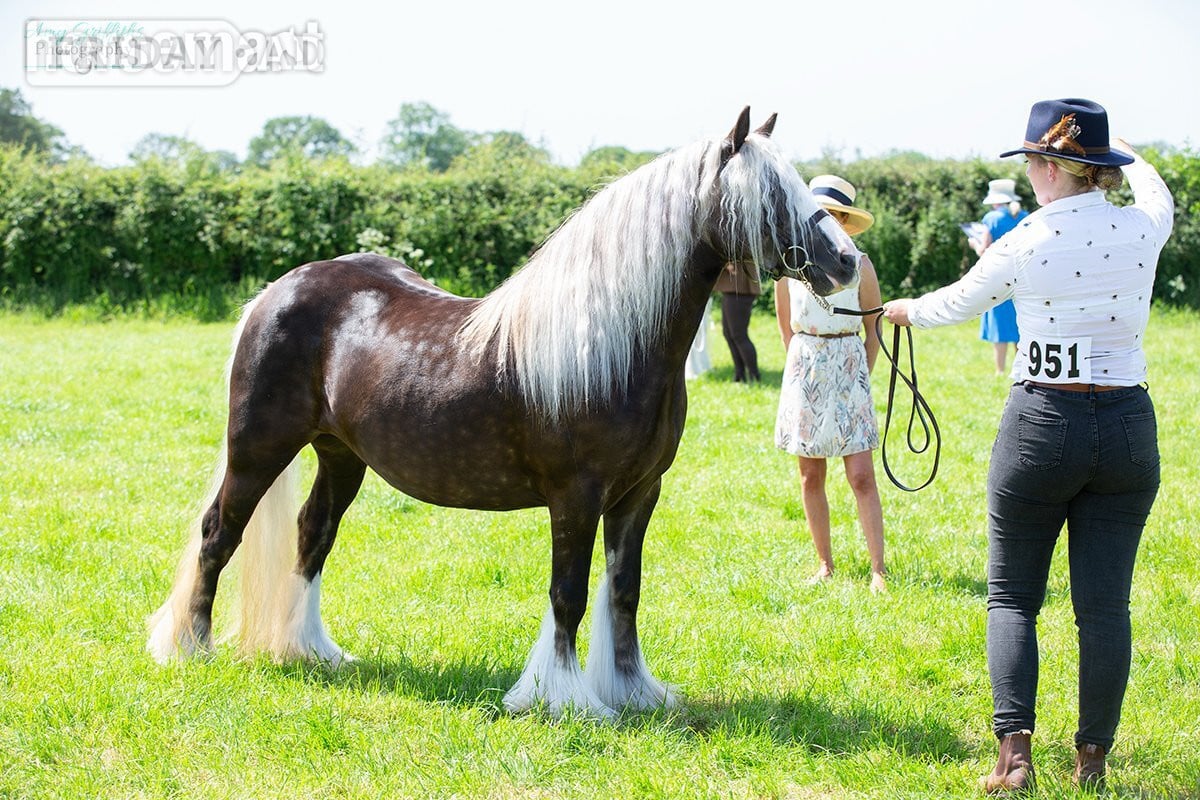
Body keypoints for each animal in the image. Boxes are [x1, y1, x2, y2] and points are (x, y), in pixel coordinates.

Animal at [147, 107, 862, 719]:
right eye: (772, 196)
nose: (848, 262)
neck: (613, 343)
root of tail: (278, 291)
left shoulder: (639, 495)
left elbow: (623, 592)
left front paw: (632, 692)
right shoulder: (576, 496)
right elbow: (570, 593)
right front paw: (562, 700)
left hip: (341, 456)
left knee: (312, 533)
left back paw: (309, 649)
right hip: (259, 447)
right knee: (219, 532)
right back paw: (192, 647)